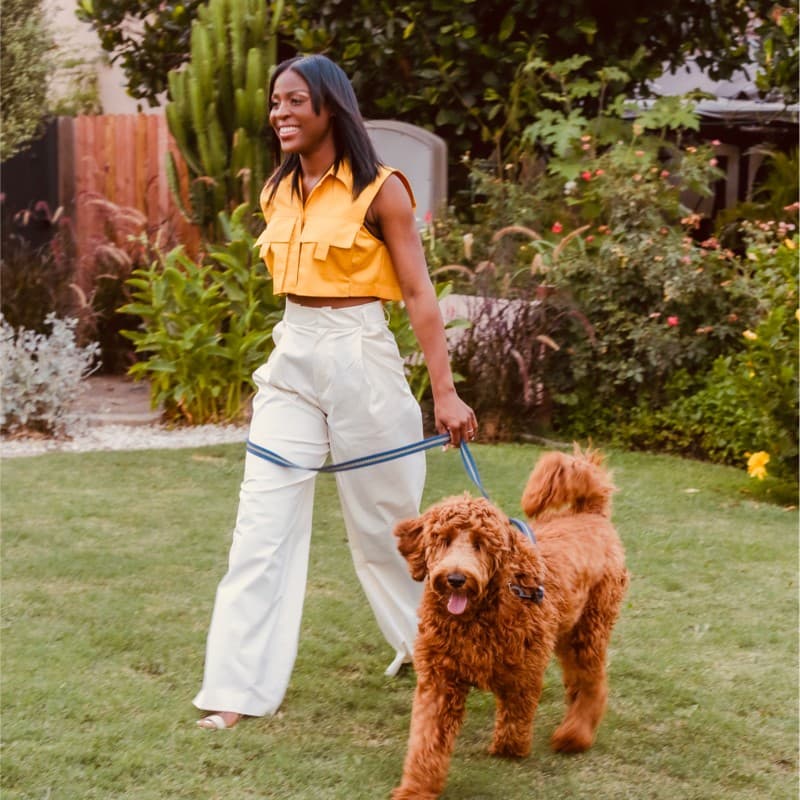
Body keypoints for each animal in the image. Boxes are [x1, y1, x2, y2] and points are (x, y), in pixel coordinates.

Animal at [390, 446, 628, 796]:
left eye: (480, 544)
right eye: (443, 539)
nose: (456, 578)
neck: (478, 615)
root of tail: (591, 514)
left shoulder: (524, 669)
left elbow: (517, 712)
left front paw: (509, 748)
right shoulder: (440, 679)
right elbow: (426, 740)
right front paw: (416, 789)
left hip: (590, 627)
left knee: (592, 681)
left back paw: (574, 735)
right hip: (568, 632)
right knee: (578, 679)